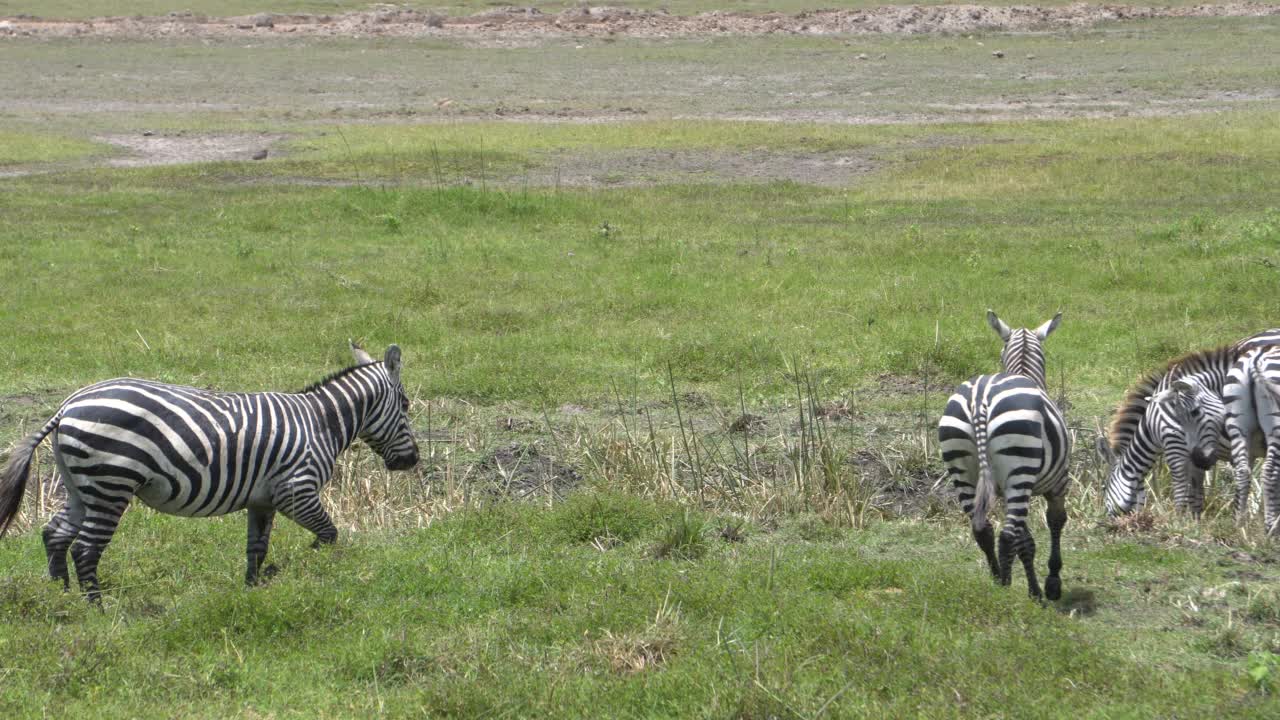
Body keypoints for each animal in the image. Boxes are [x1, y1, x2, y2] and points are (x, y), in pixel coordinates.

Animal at [0, 340, 419, 599]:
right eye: (406, 404)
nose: (411, 460)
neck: (321, 423)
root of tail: (67, 406)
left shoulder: (263, 499)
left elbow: (257, 549)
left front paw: (254, 589)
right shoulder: (296, 490)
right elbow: (329, 535)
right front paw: (299, 565)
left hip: (80, 486)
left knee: (55, 535)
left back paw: (62, 597)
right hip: (111, 484)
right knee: (85, 549)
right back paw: (97, 610)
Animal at [942, 311, 1070, 597]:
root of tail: (979, 401)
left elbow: (1026, 541)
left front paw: (1035, 587)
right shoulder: (1058, 483)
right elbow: (1055, 522)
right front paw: (1050, 583)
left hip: (961, 468)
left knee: (983, 530)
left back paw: (997, 579)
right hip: (1020, 468)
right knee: (1006, 536)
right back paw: (1007, 587)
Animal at [1095, 327, 1280, 517]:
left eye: (1103, 488)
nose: (1108, 520)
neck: (1151, 425)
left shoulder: (1176, 446)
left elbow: (1184, 491)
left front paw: (1183, 519)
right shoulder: (1196, 454)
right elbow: (1196, 490)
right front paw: (1195, 518)